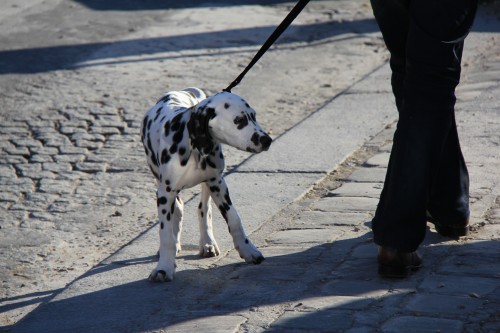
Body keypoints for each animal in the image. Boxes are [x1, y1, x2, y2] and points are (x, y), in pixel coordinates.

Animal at [141, 87, 274, 282]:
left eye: (254, 116)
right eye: (239, 120)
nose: (267, 140)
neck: (192, 145)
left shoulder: (218, 183)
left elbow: (234, 219)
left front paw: (248, 250)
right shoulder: (165, 193)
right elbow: (166, 235)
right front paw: (164, 267)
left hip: (208, 184)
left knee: (203, 208)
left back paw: (207, 243)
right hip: (160, 180)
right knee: (178, 210)